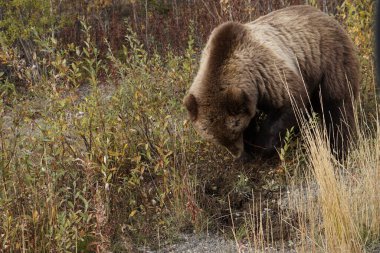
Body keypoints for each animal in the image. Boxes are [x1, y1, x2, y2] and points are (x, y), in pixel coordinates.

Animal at [184, 4, 360, 161]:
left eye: (235, 131)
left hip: (329, 61)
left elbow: (289, 105)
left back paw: (339, 150)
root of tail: (327, 16)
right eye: (215, 139)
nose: (237, 153)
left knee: (337, 106)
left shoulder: (268, 74)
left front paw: (260, 146)